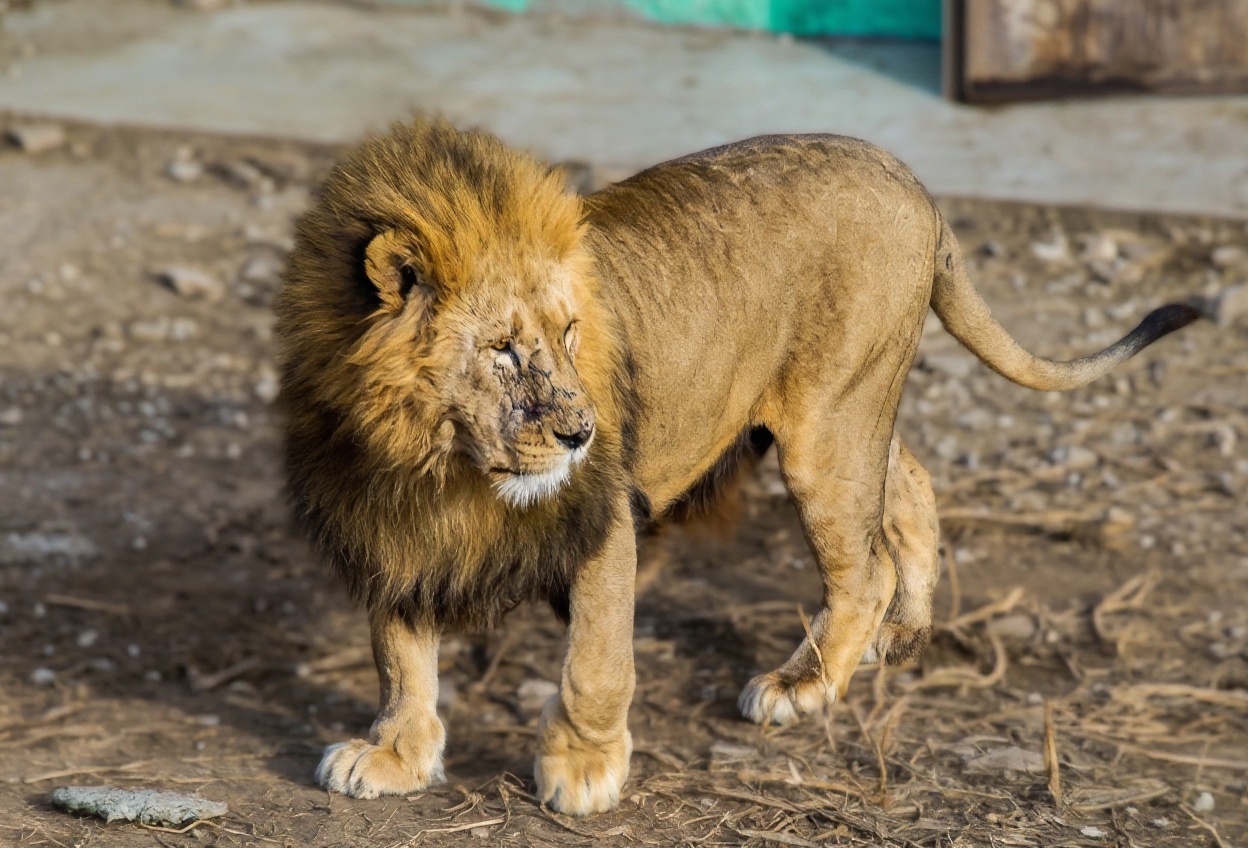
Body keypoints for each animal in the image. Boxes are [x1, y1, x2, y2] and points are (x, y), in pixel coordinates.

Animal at [274, 121, 1198, 816]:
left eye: (569, 332)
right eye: (502, 348)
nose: (583, 433)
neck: (438, 463)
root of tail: (911, 182)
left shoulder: (605, 517)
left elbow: (596, 660)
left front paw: (582, 769)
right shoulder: (386, 528)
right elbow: (400, 658)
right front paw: (396, 755)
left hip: (826, 427)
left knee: (860, 564)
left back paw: (805, 686)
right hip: (853, 413)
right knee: (910, 483)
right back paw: (904, 633)